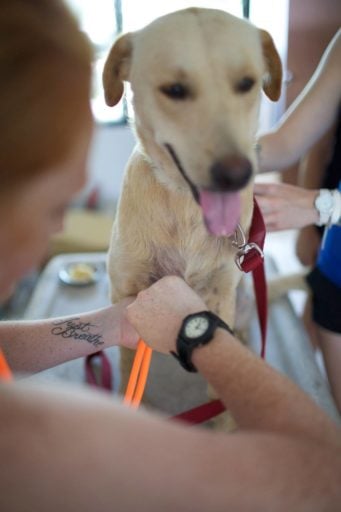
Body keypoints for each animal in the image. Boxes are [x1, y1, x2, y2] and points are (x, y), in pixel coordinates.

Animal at [103, 9, 282, 400]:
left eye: (246, 83)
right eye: (174, 89)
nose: (237, 174)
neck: (185, 207)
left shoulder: (220, 296)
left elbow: (222, 382)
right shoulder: (127, 296)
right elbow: (126, 372)